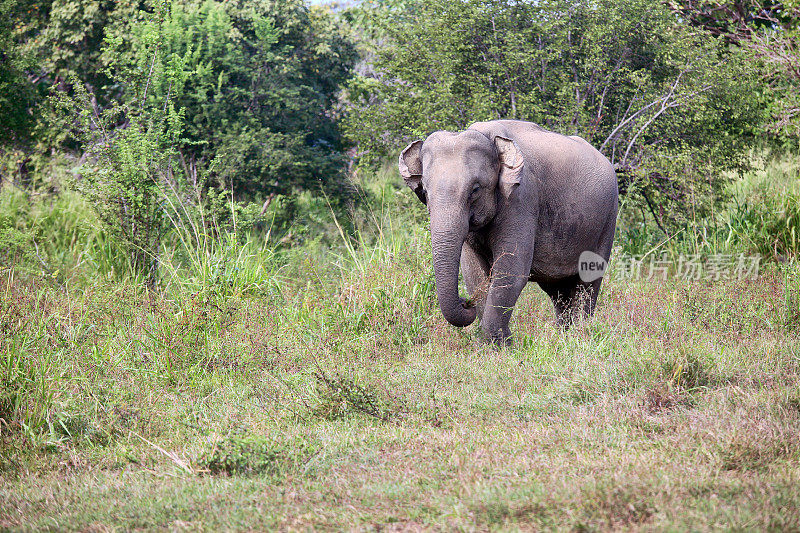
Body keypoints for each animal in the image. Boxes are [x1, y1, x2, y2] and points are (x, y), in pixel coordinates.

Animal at [400, 119, 620, 344]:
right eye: (424, 192)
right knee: (558, 291)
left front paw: (496, 345)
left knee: (588, 281)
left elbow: (511, 270)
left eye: (475, 190)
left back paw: (580, 335)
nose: (465, 303)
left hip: (608, 219)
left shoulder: (522, 198)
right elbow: (474, 274)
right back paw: (564, 336)